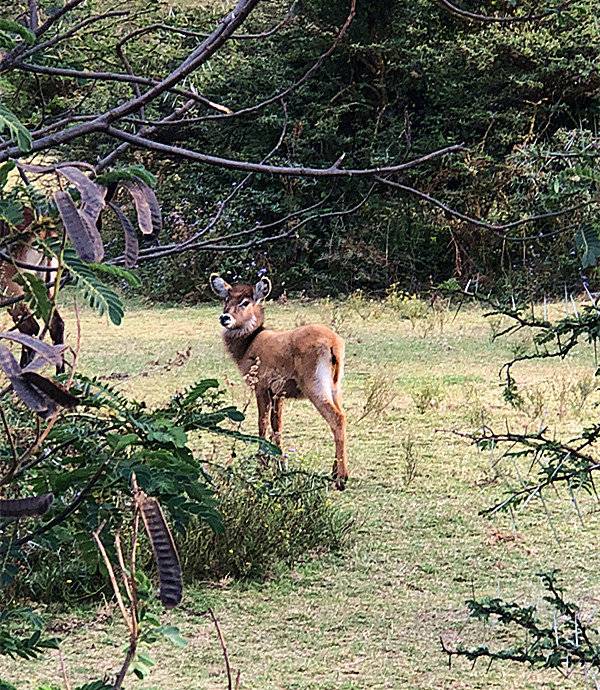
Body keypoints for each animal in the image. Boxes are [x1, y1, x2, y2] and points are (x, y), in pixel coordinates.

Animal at [210, 274, 346, 490]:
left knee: (337, 418)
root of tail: (334, 344)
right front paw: (280, 466)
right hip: (336, 385)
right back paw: (333, 472)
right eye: (226, 299)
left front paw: (262, 465)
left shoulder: (261, 386)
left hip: (314, 384)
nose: (225, 318)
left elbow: (262, 423)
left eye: (245, 302)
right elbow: (277, 427)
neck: (248, 346)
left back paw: (341, 478)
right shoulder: (278, 393)